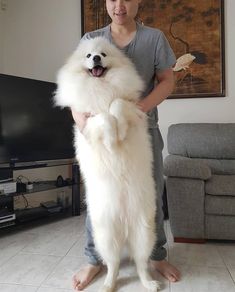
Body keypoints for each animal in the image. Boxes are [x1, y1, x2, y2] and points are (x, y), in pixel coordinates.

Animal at [54, 37, 159, 292]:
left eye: (103, 54)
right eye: (88, 55)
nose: (96, 59)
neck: (101, 88)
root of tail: (125, 228)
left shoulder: (130, 107)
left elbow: (117, 105)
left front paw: (119, 130)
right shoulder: (88, 120)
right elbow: (103, 117)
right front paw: (112, 140)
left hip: (144, 232)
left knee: (141, 263)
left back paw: (149, 283)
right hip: (105, 236)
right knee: (113, 264)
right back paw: (108, 284)